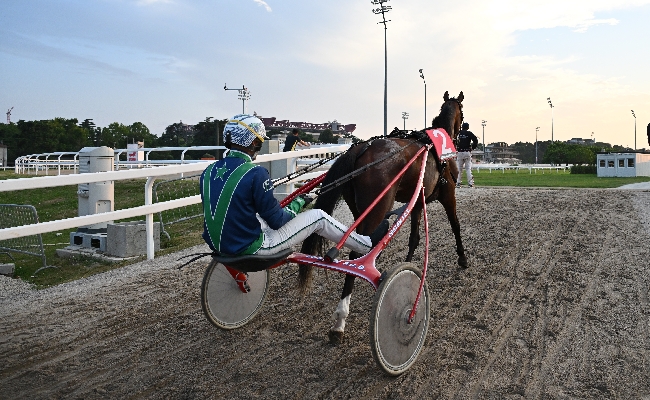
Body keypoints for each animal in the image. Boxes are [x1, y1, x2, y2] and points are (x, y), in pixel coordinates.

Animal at [298, 90, 466, 344]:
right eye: (462, 113)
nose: (464, 133)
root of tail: (360, 149)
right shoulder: (448, 195)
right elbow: (455, 226)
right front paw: (463, 258)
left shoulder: (417, 201)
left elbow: (414, 238)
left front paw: (409, 265)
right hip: (376, 209)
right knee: (356, 254)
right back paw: (340, 319)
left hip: (361, 209)